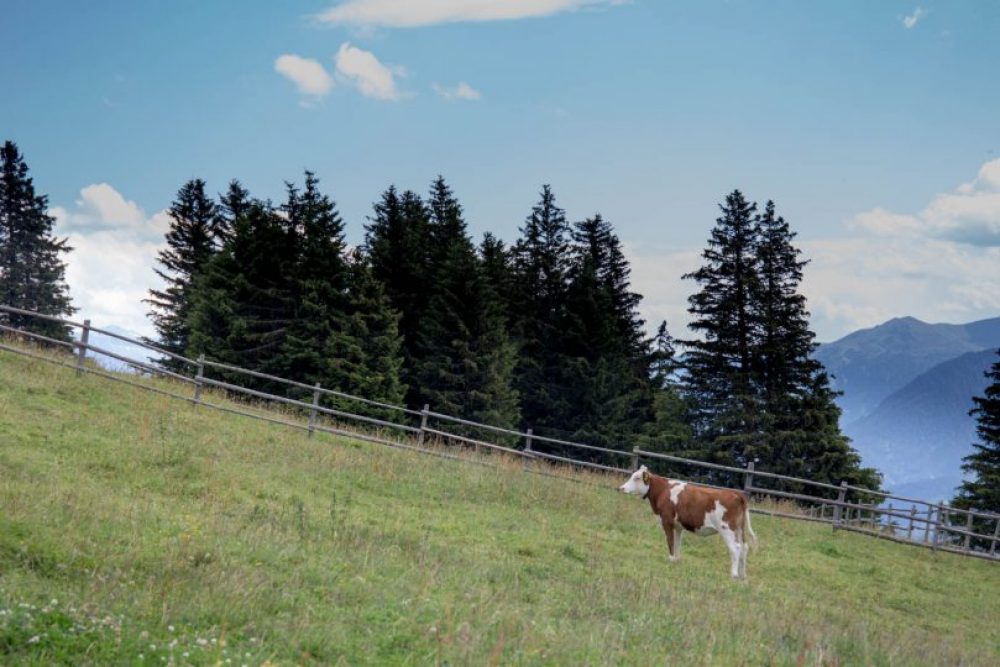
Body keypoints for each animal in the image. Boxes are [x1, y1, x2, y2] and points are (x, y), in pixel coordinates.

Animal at [619, 465, 757, 579]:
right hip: (739, 529)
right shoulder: (678, 526)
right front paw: (676, 561)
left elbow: (670, 541)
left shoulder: (667, 521)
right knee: (744, 547)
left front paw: (670, 560)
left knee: (735, 548)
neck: (663, 491)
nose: (621, 488)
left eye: (637, 478)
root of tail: (736, 494)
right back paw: (742, 575)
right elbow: (677, 543)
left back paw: (733, 575)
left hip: (727, 528)